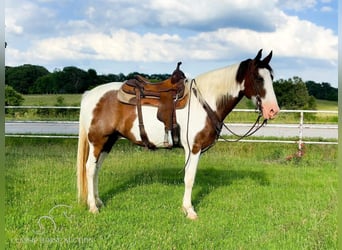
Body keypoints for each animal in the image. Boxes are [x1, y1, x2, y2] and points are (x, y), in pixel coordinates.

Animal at [76, 49, 280, 221]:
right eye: (258, 78)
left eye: (271, 77)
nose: (273, 110)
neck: (204, 102)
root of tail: (90, 94)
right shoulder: (193, 148)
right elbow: (189, 179)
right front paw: (189, 210)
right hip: (98, 141)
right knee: (90, 169)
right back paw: (93, 207)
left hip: (108, 142)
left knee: (96, 169)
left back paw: (98, 201)